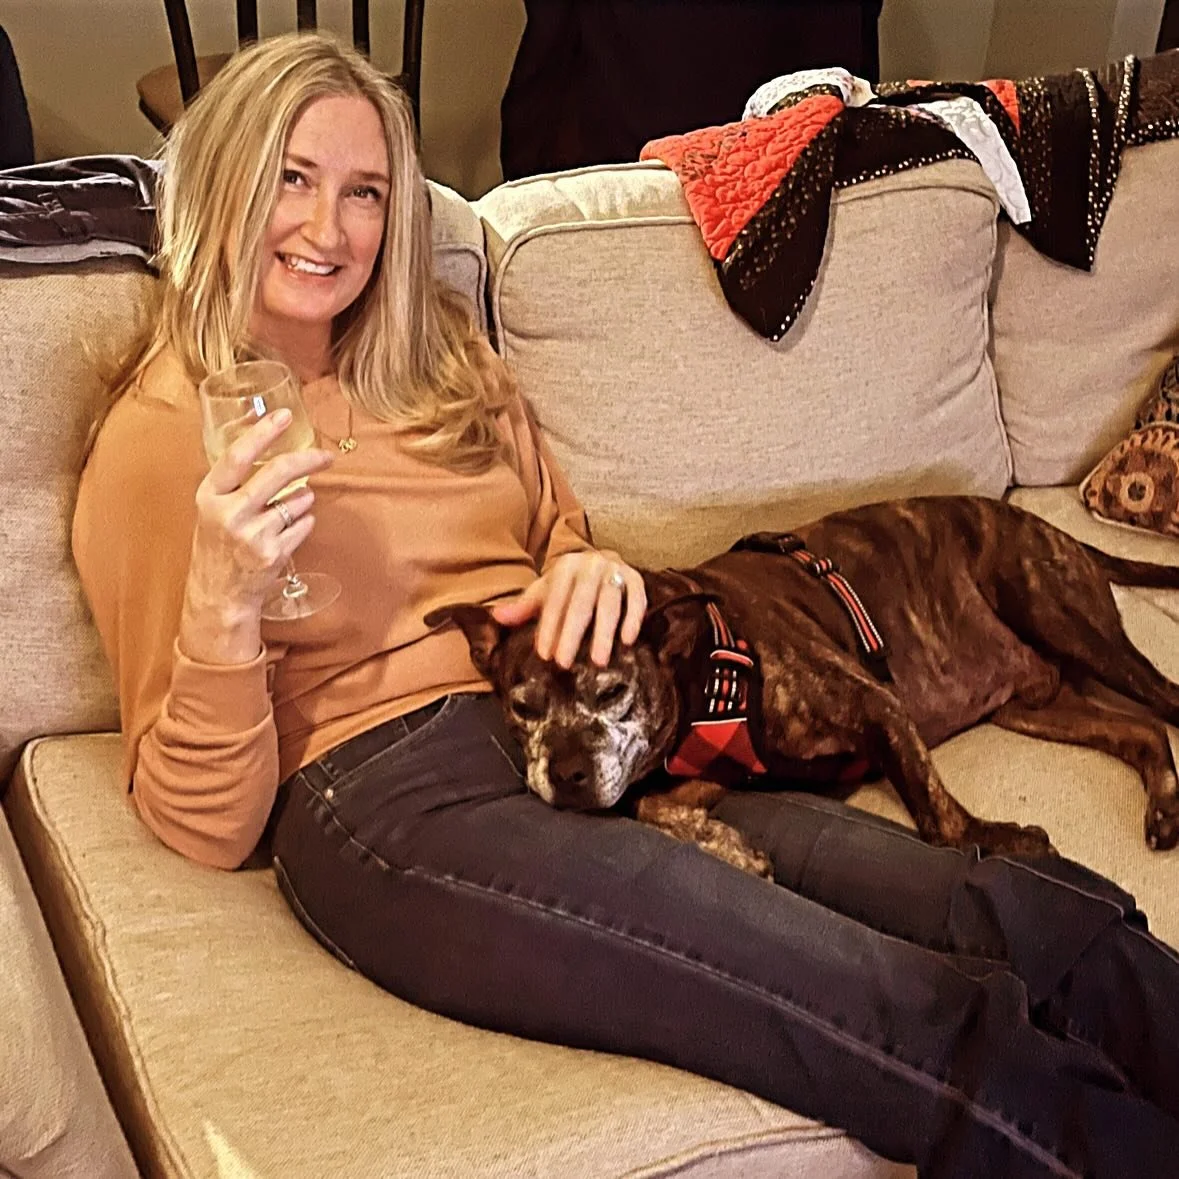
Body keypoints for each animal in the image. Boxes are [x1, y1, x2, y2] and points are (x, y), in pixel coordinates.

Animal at [426, 495, 1179, 876]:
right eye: (522, 706)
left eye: (612, 691)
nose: (567, 774)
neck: (699, 660)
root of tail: (1051, 527)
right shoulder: (707, 772)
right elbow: (652, 807)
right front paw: (728, 847)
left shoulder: (877, 705)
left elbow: (939, 824)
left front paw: (1004, 840)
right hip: (1034, 705)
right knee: (1140, 729)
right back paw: (1165, 805)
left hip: (1059, 614)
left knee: (1162, 700)